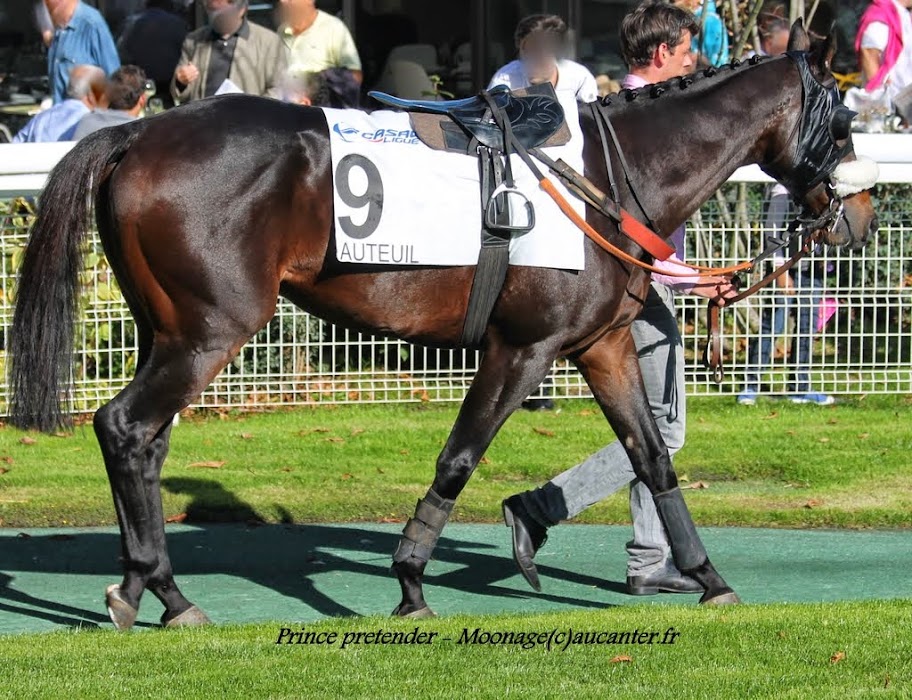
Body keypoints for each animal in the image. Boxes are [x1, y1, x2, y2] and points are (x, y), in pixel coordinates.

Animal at [7, 26, 876, 628]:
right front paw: (412, 581)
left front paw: (708, 578)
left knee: (145, 443)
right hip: (210, 331)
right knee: (124, 426)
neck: (603, 175)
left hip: (169, 330)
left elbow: (653, 457)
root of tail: (138, 132)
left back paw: (145, 585)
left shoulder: (602, 345)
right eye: (842, 125)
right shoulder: (523, 348)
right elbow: (460, 459)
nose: (863, 214)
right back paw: (163, 587)